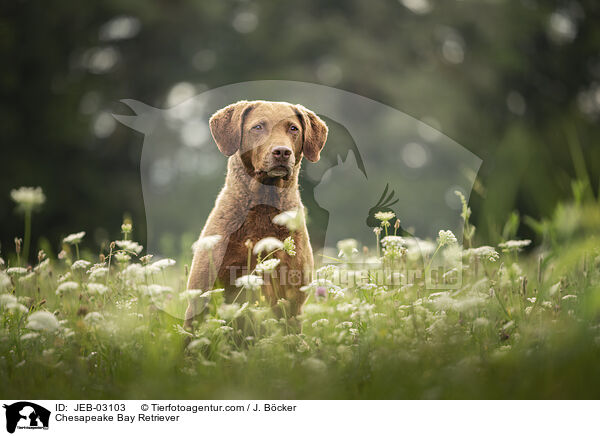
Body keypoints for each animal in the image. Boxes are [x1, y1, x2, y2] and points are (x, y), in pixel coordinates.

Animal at [185, 99, 330, 330]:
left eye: (293, 128)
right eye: (258, 127)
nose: (282, 152)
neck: (263, 208)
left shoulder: (292, 300)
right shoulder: (202, 294)